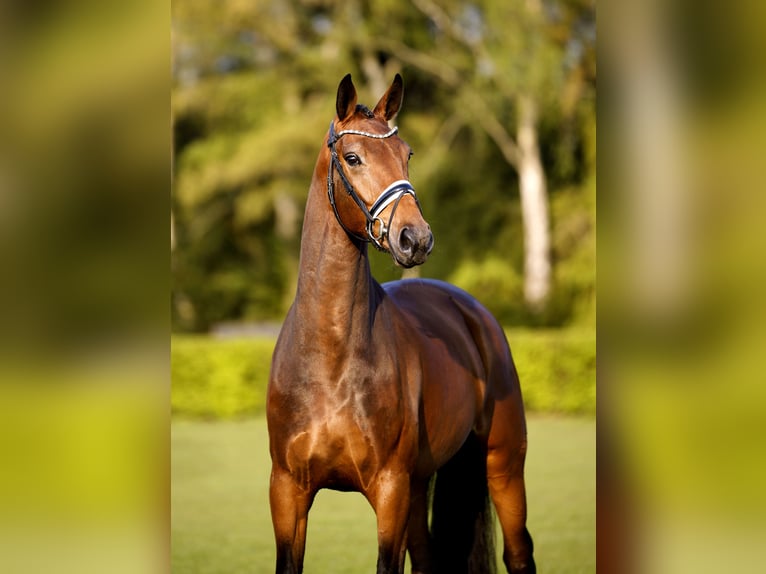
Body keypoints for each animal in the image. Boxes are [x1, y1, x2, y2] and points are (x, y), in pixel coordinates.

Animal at [267, 73, 535, 574]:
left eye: (406, 153)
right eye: (352, 157)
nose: (416, 238)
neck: (330, 358)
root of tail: (472, 312)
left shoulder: (389, 490)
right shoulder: (287, 492)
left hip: (503, 464)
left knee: (519, 552)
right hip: (419, 485)